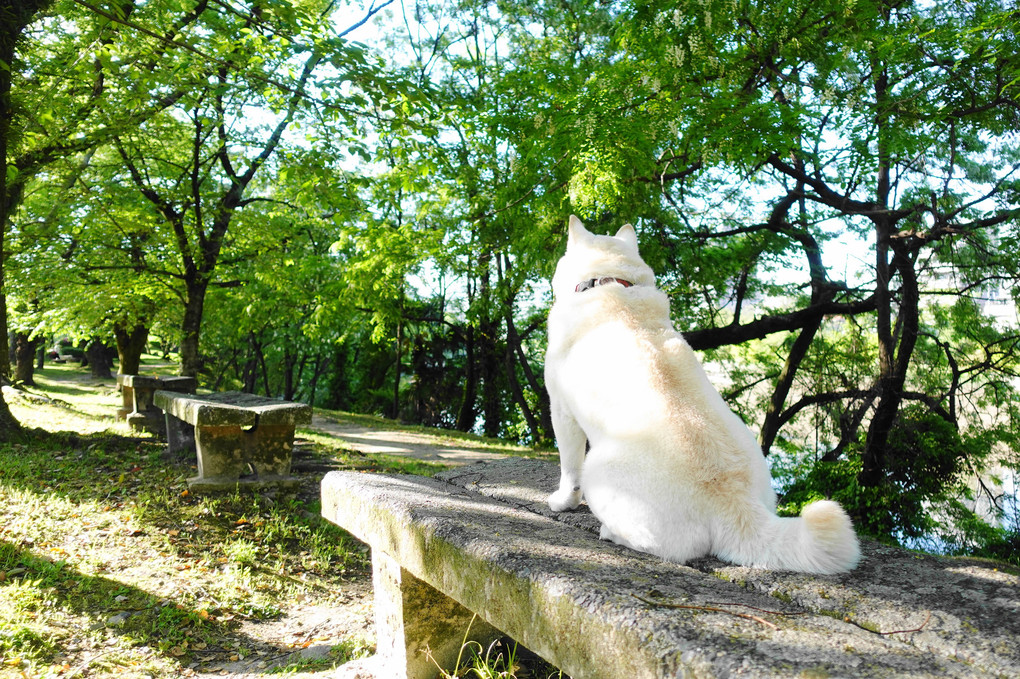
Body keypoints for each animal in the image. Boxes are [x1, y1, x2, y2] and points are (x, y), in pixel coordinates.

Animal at [546, 215, 856, 570]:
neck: (609, 284)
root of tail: (733, 500)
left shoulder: (561, 412)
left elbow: (569, 470)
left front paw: (562, 502)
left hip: (598, 468)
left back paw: (610, 532)